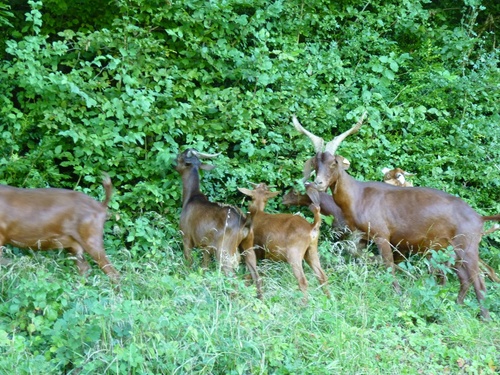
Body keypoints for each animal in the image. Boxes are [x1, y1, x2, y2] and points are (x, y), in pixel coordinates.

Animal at [174, 148, 262, 298]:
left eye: (181, 156)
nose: (173, 160)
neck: (191, 197)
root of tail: (245, 222)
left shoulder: (186, 237)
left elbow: (189, 262)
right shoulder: (206, 246)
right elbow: (204, 267)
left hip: (224, 251)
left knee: (233, 277)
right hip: (248, 246)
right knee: (256, 274)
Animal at [292, 112, 500, 320]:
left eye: (334, 163)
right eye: (315, 162)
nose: (318, 183)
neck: (358, 197)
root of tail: (480, 218)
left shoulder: (382, 235)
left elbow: (388, 265)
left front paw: (398, 294)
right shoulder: (361, 236)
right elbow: (361, 256)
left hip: (467, 244)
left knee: (478, 279)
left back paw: (485, 317)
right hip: (451, 248)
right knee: (464, 278)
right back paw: (456, 306)